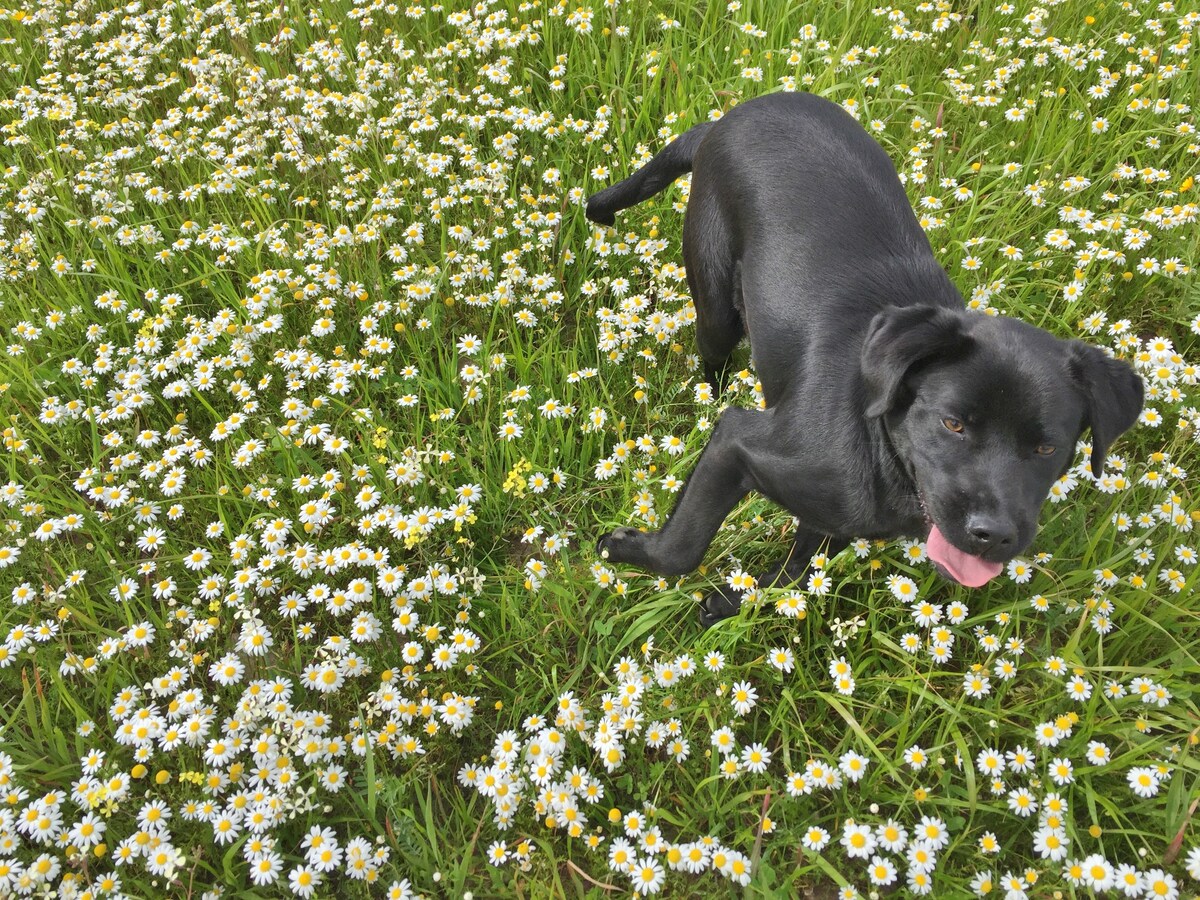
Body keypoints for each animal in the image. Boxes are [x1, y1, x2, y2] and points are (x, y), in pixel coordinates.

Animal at [588, 93, 1142, 628]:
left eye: (1048, 449)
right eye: (952, 424)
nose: (994, 536)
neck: (881, 446)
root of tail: (735, 114)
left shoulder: (832, 516)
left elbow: (797, 569)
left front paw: (733, 600)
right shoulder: (736, 441)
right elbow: (683, 547)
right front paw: (621, 548)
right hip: (716, 304)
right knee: (715, 360)